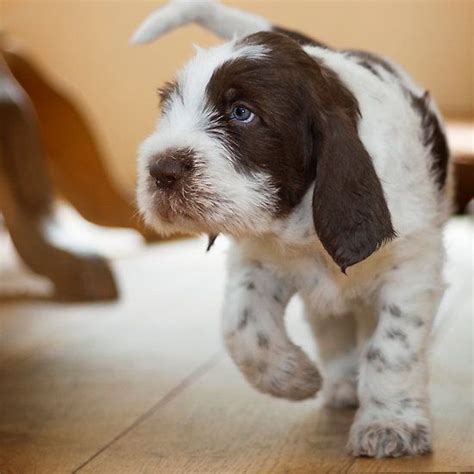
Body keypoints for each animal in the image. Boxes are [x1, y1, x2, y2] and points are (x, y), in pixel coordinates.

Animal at [131, 0, 450, 460]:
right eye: (167, 110)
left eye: (242, 113)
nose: (160, 170)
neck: (300, 222)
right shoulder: (256, 263)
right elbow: (242, 327)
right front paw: (293, 377)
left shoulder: (411, 270)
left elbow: (391, 348)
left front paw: (390, 424)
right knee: (332, 329)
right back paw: (341, 384)